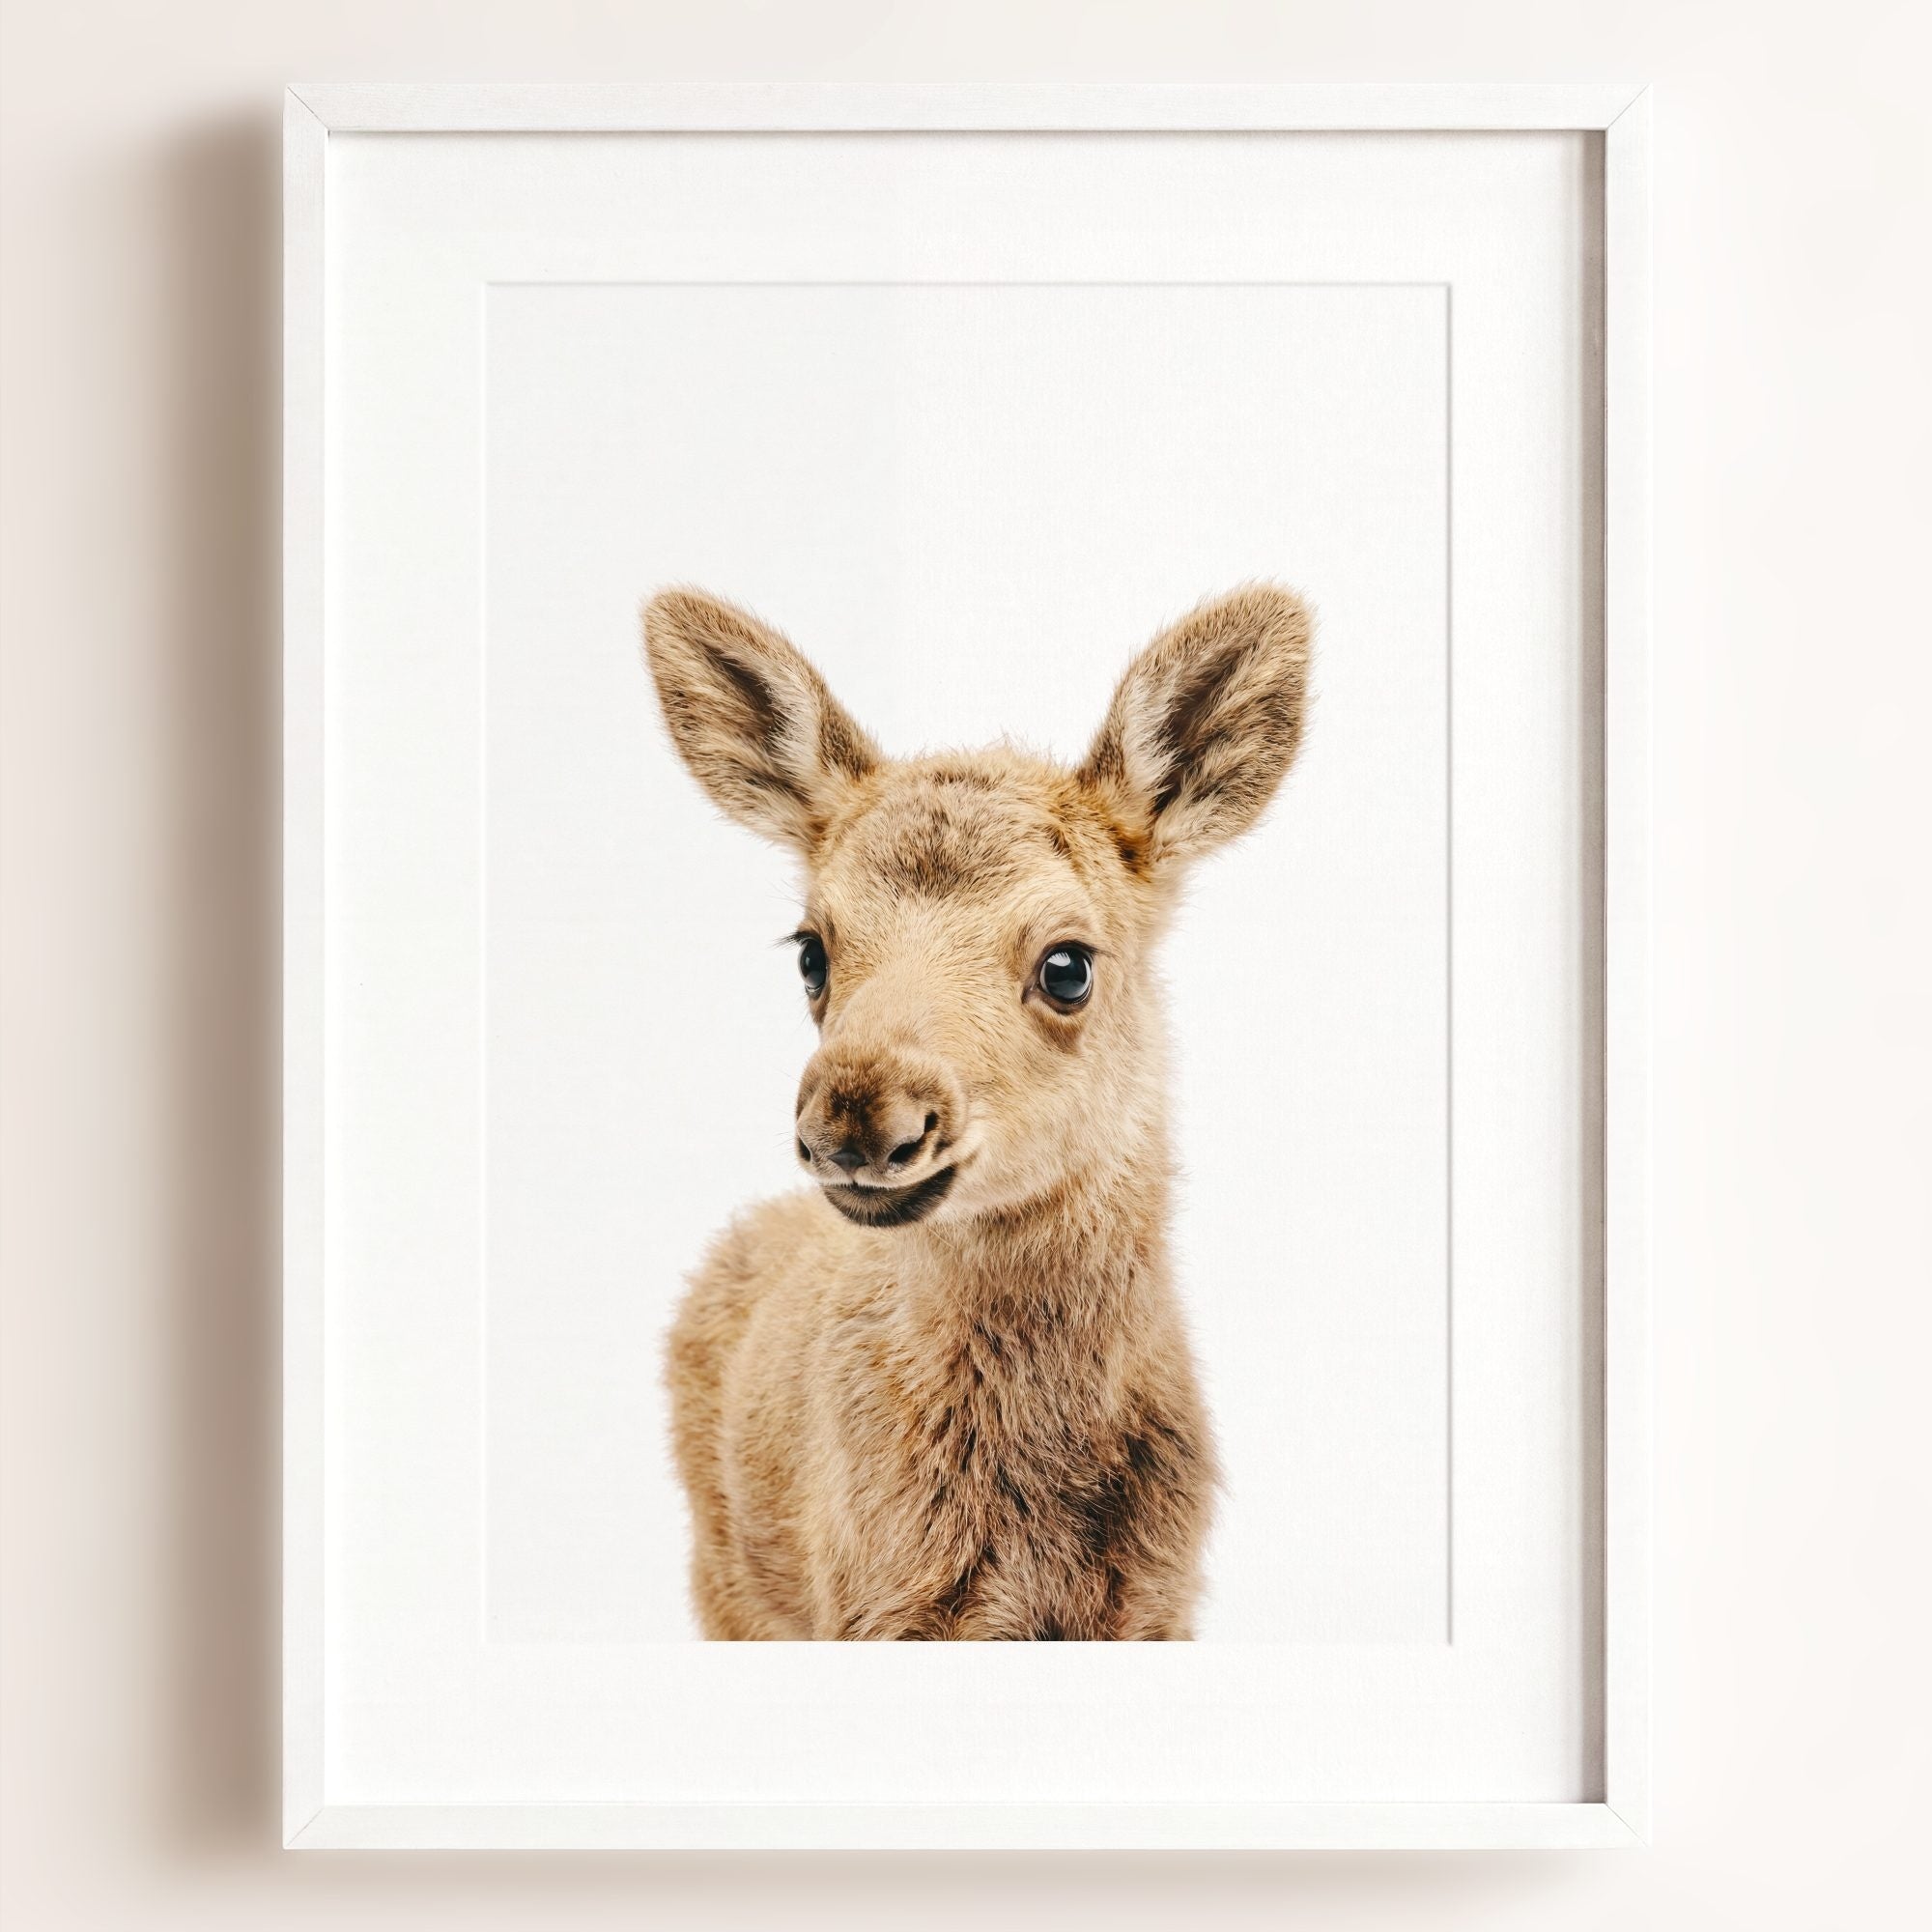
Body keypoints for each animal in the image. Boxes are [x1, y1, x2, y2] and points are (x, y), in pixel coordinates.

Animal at [642, 583, 1312, 1640]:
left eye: (1068, 964)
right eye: (811, 951)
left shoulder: (1158, 1602)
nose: (858, 1116)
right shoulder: (871, 1603)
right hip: (725, 1580)